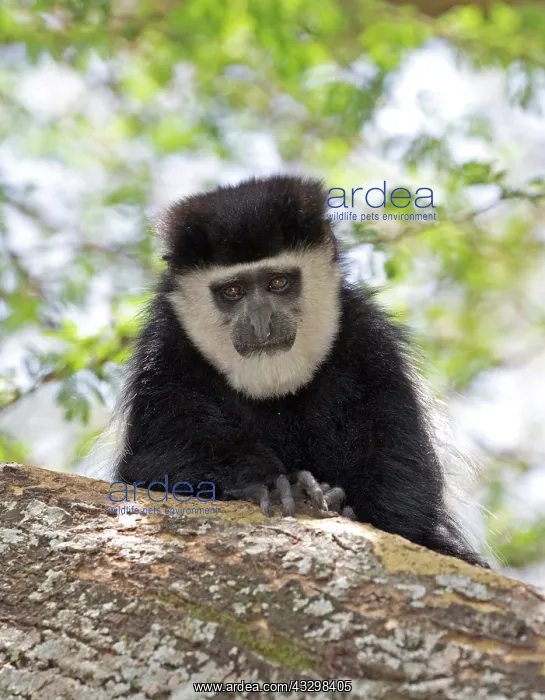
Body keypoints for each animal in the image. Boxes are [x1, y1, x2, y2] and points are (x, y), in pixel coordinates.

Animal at [113, 175, 488, 568]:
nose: (261, 322)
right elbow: (150, 463)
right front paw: (271, 482)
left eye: (278, 283)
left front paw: (342, 502)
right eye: (232, 291)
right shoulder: (163, 354)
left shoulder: (371, 341)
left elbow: (403, 469)